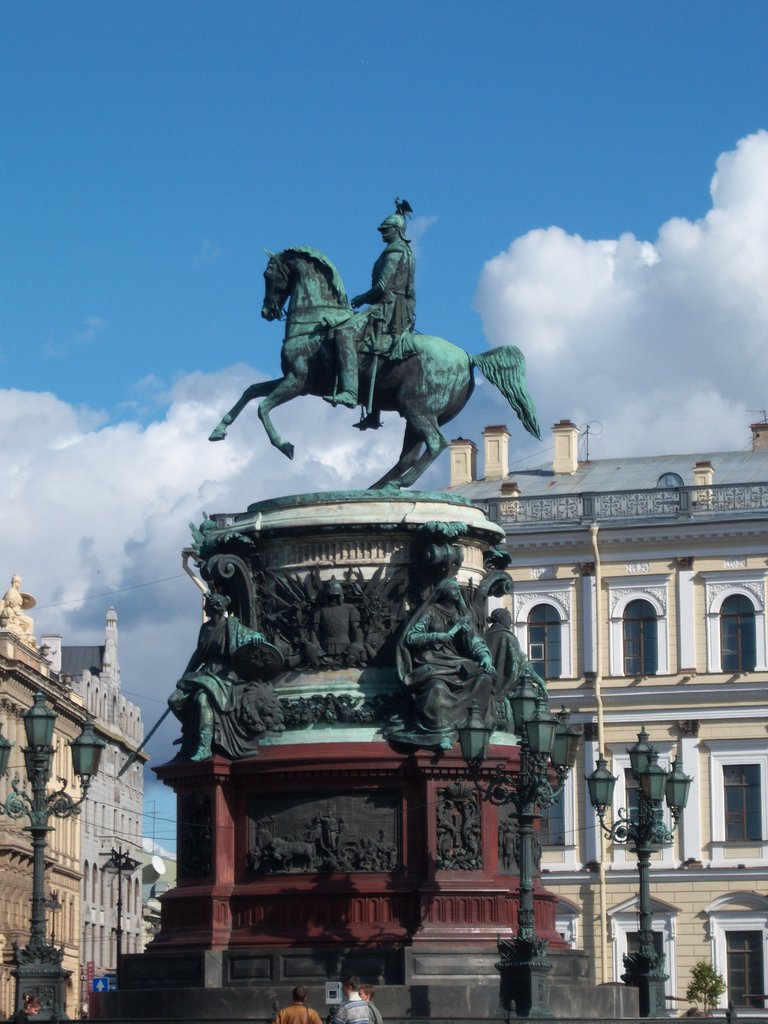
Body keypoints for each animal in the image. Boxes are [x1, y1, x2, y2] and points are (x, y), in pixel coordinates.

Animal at [210, 245, 540, 489]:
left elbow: (262, 407)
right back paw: (378, 487)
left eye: (268, 274)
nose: (267, 311)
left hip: (416, 408)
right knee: (410, 455)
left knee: (436, 443)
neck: (315, 322)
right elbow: (249, 391)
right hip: (414, 414)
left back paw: (397, 485)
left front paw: (284, 445)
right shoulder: (297, 383)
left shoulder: (297, 380)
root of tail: (468, 356)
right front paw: (218, 430)